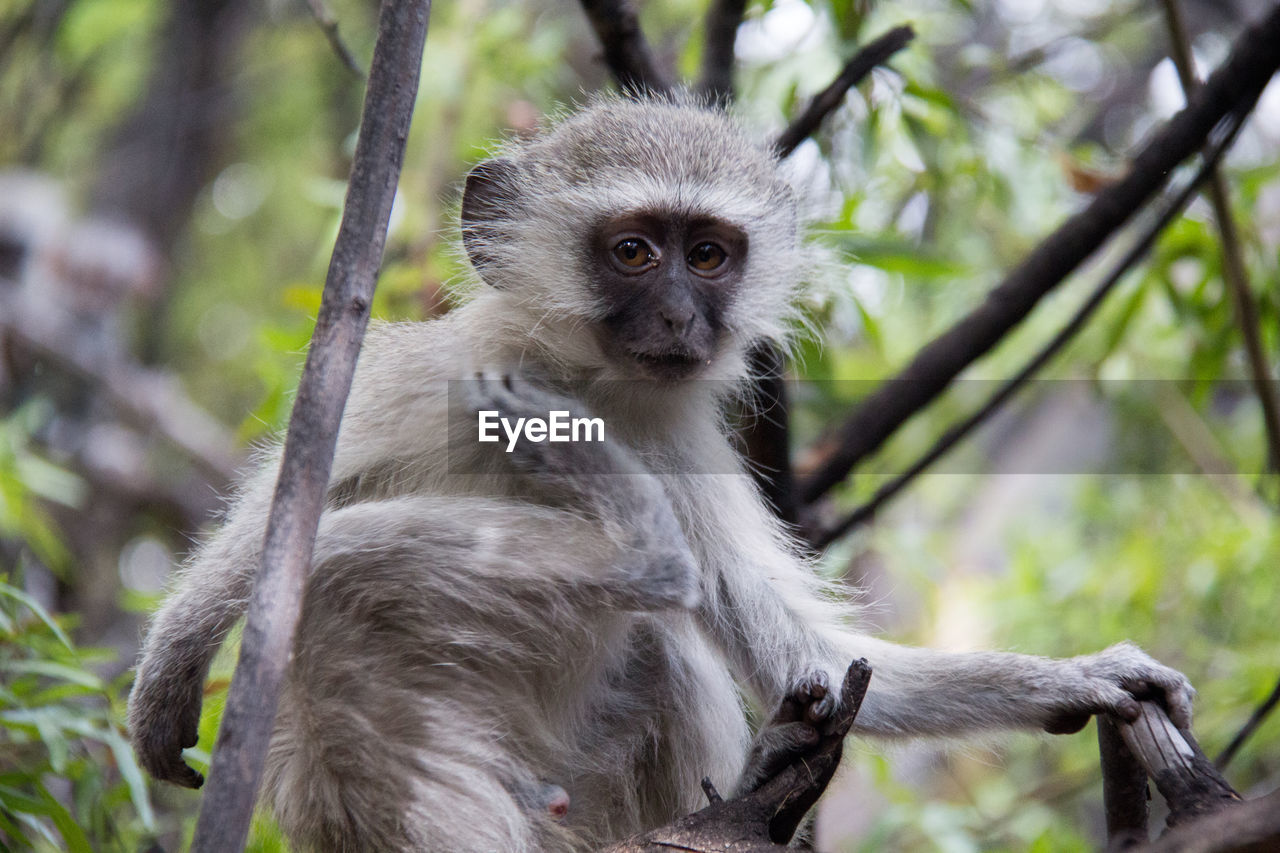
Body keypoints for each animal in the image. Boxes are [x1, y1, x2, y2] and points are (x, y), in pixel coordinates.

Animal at [124, 96, 1192, 845]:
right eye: (634, 250)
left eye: (709, 255)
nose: (680, 318)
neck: (583, 382)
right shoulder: (439, 372)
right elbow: (278, 518)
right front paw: (171, 668)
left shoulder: (676, 435)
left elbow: (798, 652)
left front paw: (1086, 678)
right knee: (350, 588)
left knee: (659, 640)